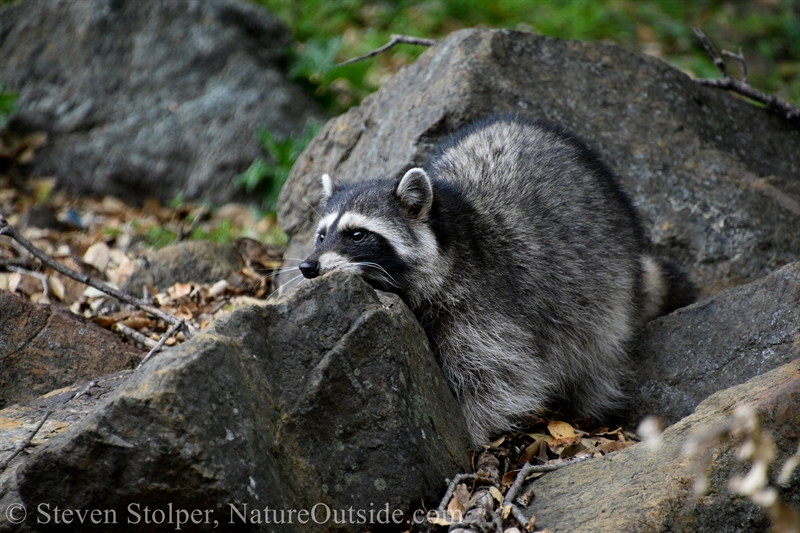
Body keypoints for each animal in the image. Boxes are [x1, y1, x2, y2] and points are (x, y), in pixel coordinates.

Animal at [298, 116, 695, 446]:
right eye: (322, 235)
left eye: (357, 235)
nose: (307, 266)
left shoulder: (485, 303)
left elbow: (495, 377)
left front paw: (471, 430)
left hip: (605, 285)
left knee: (594, 348)